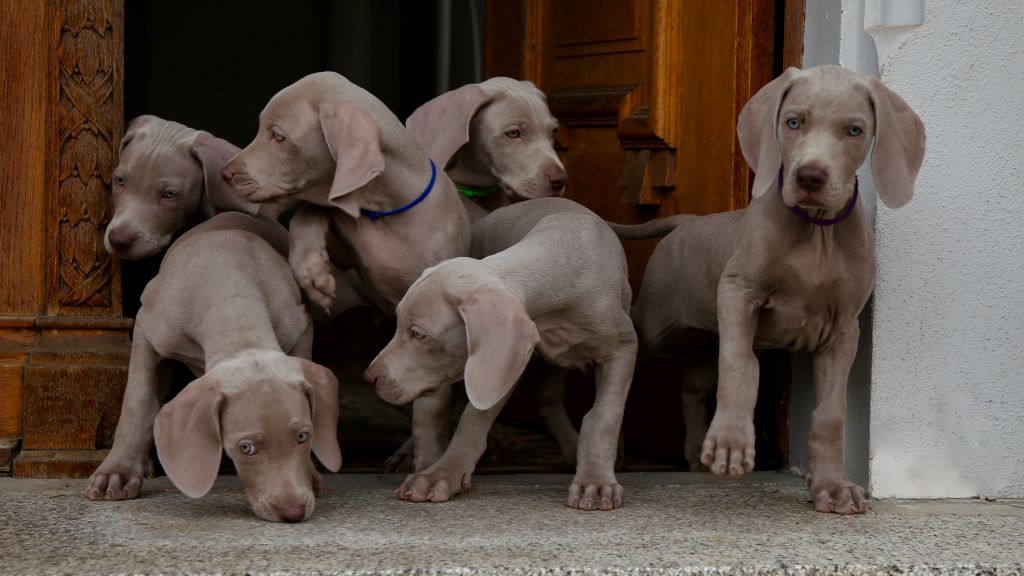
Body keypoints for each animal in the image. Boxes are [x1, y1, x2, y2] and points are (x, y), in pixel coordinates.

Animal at [83, 211, 339, 520]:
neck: (229, 290)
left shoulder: (300, 325)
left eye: (303, 436)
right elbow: (138, 399)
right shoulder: (147, 325)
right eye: (246, 448)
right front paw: (117, 471)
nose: (294, 512)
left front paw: (310, 473)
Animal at [220, 71, 471, 473]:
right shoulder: (345, 224)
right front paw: (314, 274)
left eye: (278, 136)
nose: (225, 173)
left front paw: (427, 462)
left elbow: (430, 405)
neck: (383, 212)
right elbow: (309, 213)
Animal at [362, 195, 630, 506]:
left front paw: (595, 483)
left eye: (418, 334)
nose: (369, 378)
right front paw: (442, 474)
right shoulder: (504, 363)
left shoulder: (623, 346)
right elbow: (474, 417)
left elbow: (604, 415)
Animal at [610, 66, 925, 510]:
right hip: (656, 321)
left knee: (692, 384)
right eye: (793, 122)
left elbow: (830, 413)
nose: (810, 176)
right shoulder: (738, 294)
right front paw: (730, 444)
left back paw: (693, 454)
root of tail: (688, 221)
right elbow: (742, 366)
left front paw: (833, 486)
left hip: (707, 336)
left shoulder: (844, 330)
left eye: (854, 130)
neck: (817, 230)